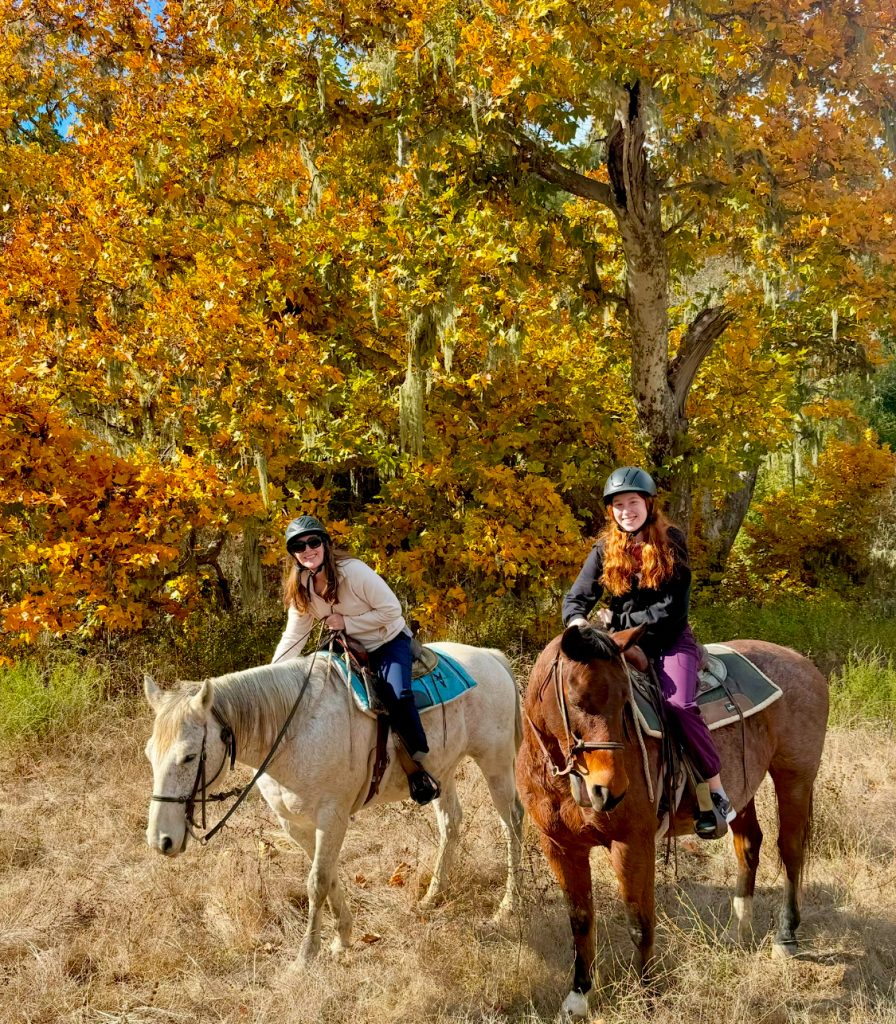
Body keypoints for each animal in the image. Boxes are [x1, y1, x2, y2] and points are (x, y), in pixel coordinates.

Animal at [144, 643, 524, 963]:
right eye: (149, 754)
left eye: (189, 756)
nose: (161, 840)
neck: (293, 732)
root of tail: (491, 657)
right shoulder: (295, 824)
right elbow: (328, 877)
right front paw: (342, 938)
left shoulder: (332, 817)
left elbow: (317, 882)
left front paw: (305, 956)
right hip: (442, 772)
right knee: (451, 824)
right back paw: (433, 896)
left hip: (495, 762)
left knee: (513, 822)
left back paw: (508, 905)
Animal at [517, 625, 828, 1021]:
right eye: (577, 699)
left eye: (626, 701)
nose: (609, 790)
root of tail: (802, 663)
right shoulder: (559, 847)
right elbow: (580, 920)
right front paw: (578, 998)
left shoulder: (633, 843)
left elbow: (640, 922)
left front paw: (648, 996)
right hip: (744, 788)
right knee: (749, 846)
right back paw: (736, 931)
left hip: (795, 778)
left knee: (790, 852)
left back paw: (786, 937)